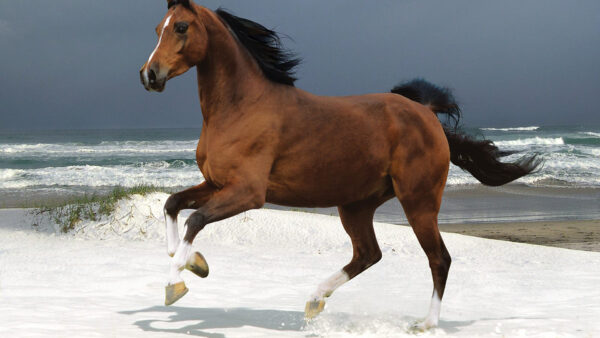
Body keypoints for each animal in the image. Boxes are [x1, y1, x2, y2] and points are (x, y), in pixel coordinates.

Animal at [139, 0, 540, 328]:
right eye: (158, 28)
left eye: (181, 27)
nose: (149, 75)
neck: (240, 107)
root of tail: (426, 113)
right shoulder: (216, 184)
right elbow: (172, 205)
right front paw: (193, 262)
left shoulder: (248, 193)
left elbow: (195, 219)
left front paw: (176, 282)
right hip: (357, 205)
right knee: (368, 254)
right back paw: (315, 300)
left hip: (418, 202)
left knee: (439, 259)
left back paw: (426, 324)